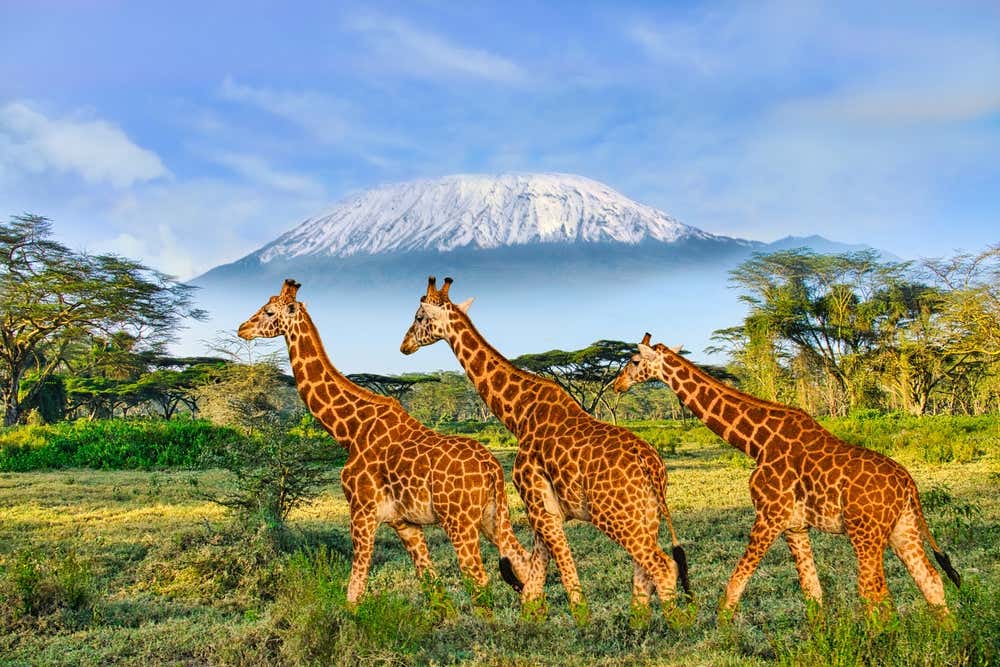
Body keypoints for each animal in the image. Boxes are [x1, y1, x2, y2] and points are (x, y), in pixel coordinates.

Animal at [237, 279, 536, 611]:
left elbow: (354, 591)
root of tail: (492, 468)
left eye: (268, 311)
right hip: (492, 516)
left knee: (480, 581)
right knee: (522, 562)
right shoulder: (404, 523)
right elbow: (432, 586)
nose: (242, 328)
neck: (350, 431)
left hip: (459, 521)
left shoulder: (362, 512)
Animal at [400, 277, 691, 626]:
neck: (518, 414)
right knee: (644, 568)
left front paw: (581, 622)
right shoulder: (541, 507)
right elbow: (534, 579)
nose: (404, 346)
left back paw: (676, 625)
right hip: (646, 513)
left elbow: (562, 573)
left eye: (418, 316)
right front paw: (534, 621)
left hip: (614, 514)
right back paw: (638, 623)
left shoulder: (539, 505)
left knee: (662, 566)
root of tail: (652, 465)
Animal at [613, 333, 962, 621]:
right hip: (902, 528)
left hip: (866, 533)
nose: (617, 385)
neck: (757, 442)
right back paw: (948, 635)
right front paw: (821, 641)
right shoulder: (795, 526)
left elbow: (735, 583)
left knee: (875, 593)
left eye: (634, 361)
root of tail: (908, 485)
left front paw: (723, 634)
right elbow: (812, 592)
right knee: (930, 580)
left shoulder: (770, 515)